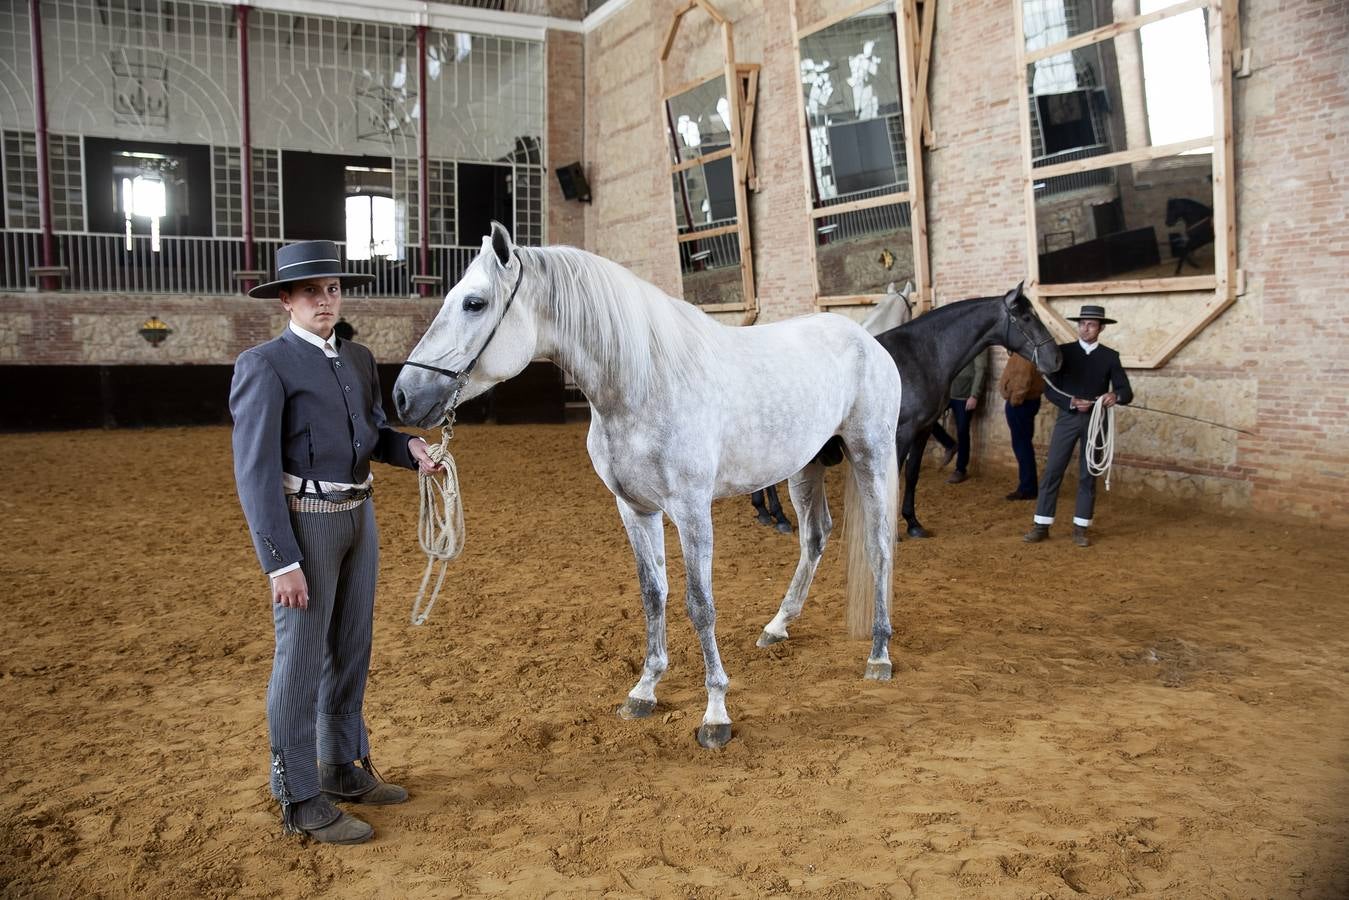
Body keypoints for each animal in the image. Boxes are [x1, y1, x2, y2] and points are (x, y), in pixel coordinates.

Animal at [393, 225, 901, 755]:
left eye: (474, 303)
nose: (403, 396)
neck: (644, 384)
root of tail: (866, 339)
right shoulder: (635, 509)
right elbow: (652, 593)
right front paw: (645, 690)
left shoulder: (692, 511)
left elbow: (700, 604)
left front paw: (716, 713)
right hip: (806, 466)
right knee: (815, 536)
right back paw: (777, 627)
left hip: (871, 455)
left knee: (880, 544)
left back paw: (879, 654)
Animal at [874, 283, 1063, 534]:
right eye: (1026, 318)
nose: (1056, 358)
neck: (919, 355)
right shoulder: (901, 432)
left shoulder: (923, 429)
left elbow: (912, 473)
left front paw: (913, 523)